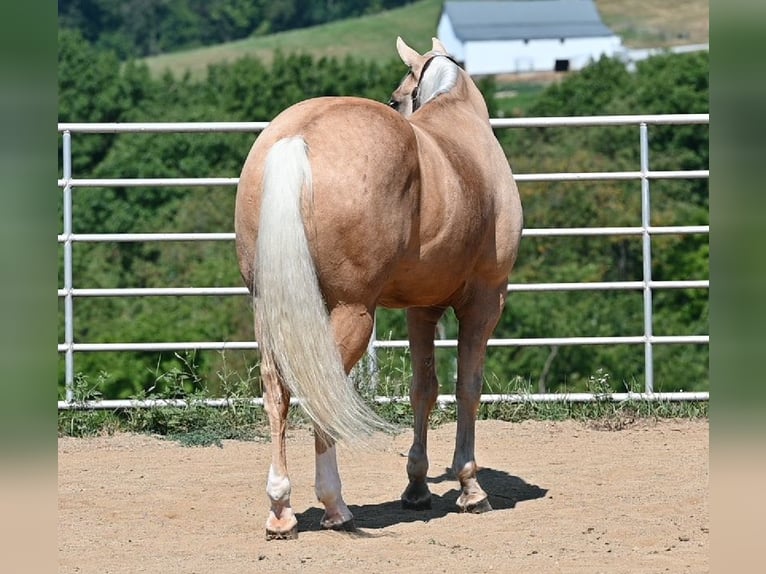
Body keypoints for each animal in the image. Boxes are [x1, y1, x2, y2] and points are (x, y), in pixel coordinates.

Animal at [234, 36, 523, 539]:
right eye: (396, 97)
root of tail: (296, 139)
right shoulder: (486, 300)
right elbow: (468, 386)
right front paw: (471, 487)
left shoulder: (420, 308)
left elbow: (423, 388)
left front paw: (417, 488)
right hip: (352, 313)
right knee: (320, 394)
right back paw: (335, 507)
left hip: (268, 310)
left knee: (277, 392)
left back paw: (281, 510)